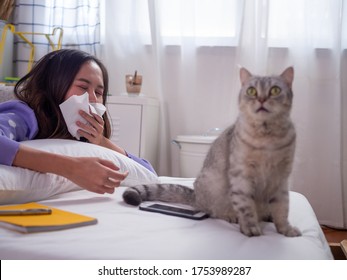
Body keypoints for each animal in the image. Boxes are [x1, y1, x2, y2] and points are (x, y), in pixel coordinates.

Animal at [124, 66, 302, 237]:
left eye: (275, 90)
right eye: (251, 91)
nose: (262, 99)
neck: (267, 139)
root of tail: (196, 196)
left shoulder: (281, 179)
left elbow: (282, 208)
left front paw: (285, 229)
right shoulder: (241, 177)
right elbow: (246, 207)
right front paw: (251, 228)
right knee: (214, 211)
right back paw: (231, 216)